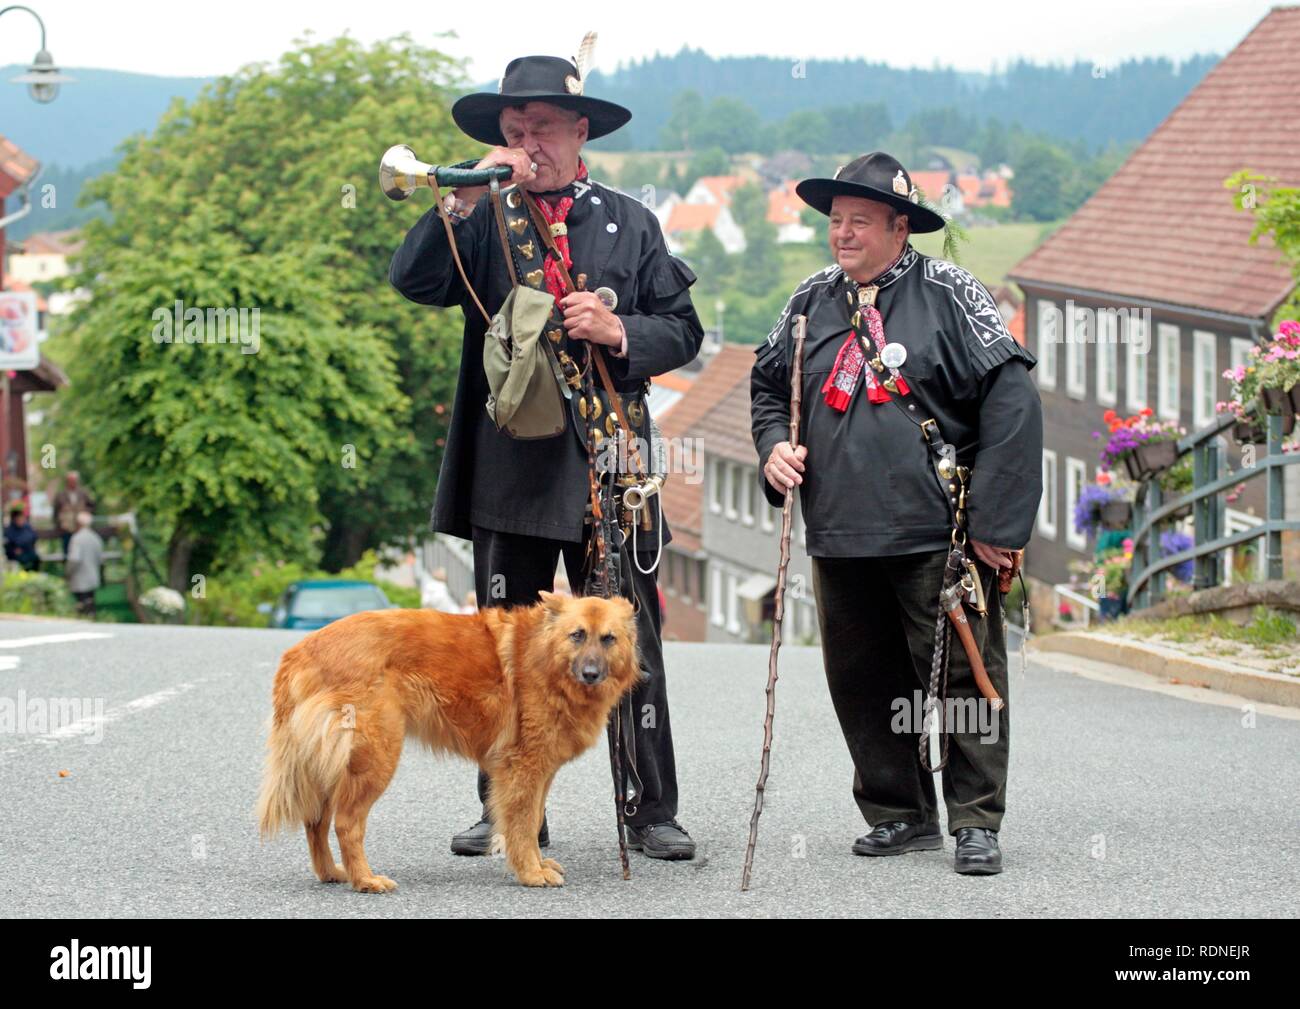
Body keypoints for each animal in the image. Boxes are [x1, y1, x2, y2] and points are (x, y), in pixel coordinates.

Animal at [254, 590, 639, 889]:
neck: (545, 656)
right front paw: (531, 873)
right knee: (346, 824)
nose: (591, 674)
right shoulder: (523, 771)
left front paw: (538, 865)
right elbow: (522, 825)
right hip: (375, 759)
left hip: (329, 765)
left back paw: (332, 873)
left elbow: (530, 824)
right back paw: (365, 880)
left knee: (315, 822)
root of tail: (301, 651)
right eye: (577, 635)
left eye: (608, 638)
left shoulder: (538, 774)